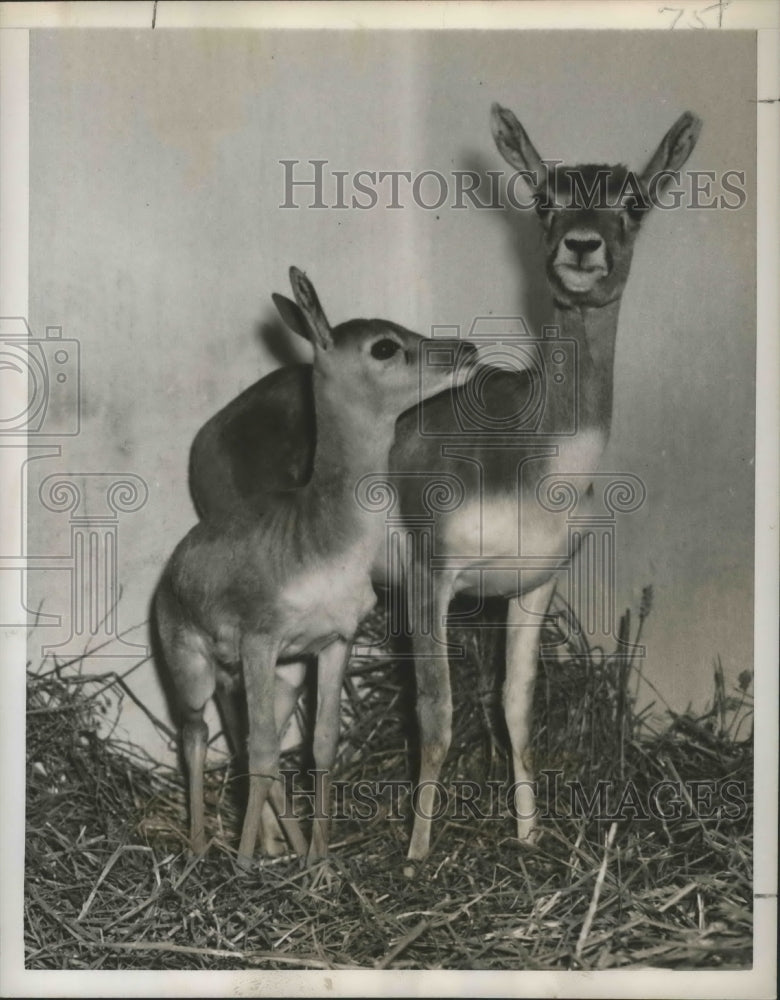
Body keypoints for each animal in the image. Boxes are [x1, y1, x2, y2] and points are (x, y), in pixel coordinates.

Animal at [156, 267, 476, 867]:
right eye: (384, 346)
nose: (465, 349)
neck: (324, 538)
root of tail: (169, 576)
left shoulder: (332, 643)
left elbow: (318, 744)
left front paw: (319, 863)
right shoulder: (261, 642)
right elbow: (261, 750)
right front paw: (243, 866)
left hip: (262, 680)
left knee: (247, 743)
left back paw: (288, 845)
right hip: (194, 671)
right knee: (196, 736)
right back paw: (201, 848)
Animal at [188, 106, 702, 868]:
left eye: (634, 201)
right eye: (544, 198)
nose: (582, 246)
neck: (529, 455)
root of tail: (210, 430)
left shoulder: (532, 586)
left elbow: (514, 708)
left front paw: (528, 837)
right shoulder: (433, 579)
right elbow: (435, 716)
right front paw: (416, 856)